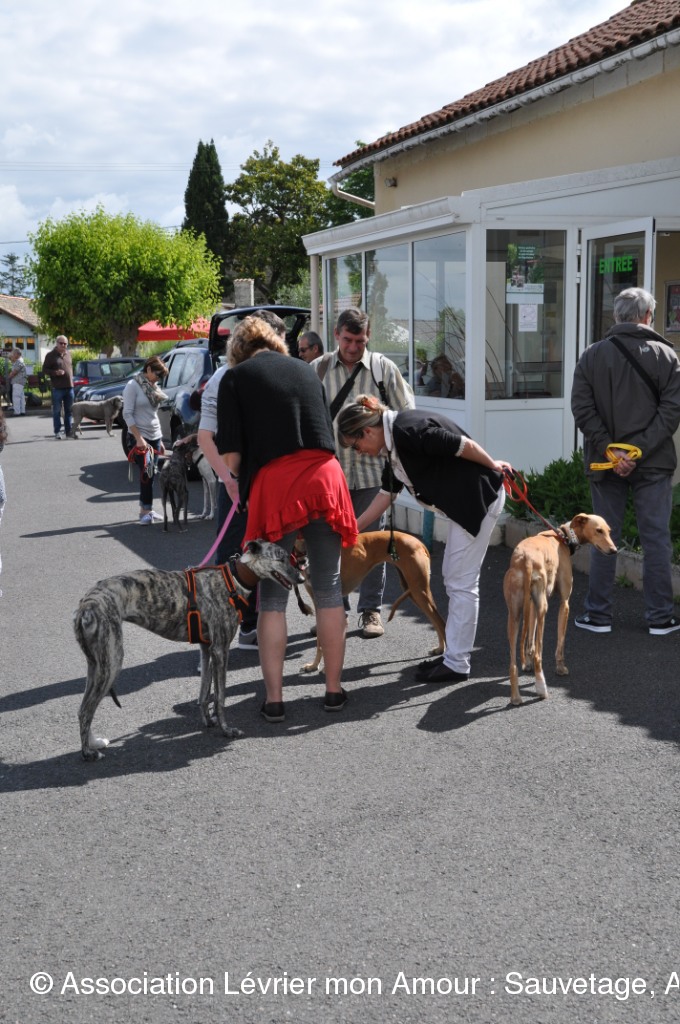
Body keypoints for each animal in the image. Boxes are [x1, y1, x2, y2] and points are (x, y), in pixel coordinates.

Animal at [74, 540, 304, 761]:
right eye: (281, 558)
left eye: (289, 557)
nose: (301, 577)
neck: (233, 579)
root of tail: (85, 603)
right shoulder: (221, 650)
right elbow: (220, 697)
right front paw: (227, 730)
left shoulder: (207, 648)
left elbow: (204, 693)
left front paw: (208, 721)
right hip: (112, 661)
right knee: (86, 710)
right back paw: (88, 753)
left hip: (96, 663)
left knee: (83, 707)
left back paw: (94, 742)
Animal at [295, 529, 447, 673]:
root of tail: (419, 542)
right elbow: (322, 640)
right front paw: (314, 666)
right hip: (413, 589)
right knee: (436, 621)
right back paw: (440, 649)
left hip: (418, 589)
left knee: (440, 622)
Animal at [503, 513, 616, 706]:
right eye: (598, 530)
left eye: (608, 531)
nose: (614, 550)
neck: (563, 537)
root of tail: (525, 559)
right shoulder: (565, 603)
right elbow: (560, 642)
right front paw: (561, 667)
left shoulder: (531, 604)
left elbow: (529, 640)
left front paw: (527, 664)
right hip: (543, 609)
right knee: (539, 655)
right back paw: (541, 688)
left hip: (515, 614)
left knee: (512, 663)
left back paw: (516, 697)